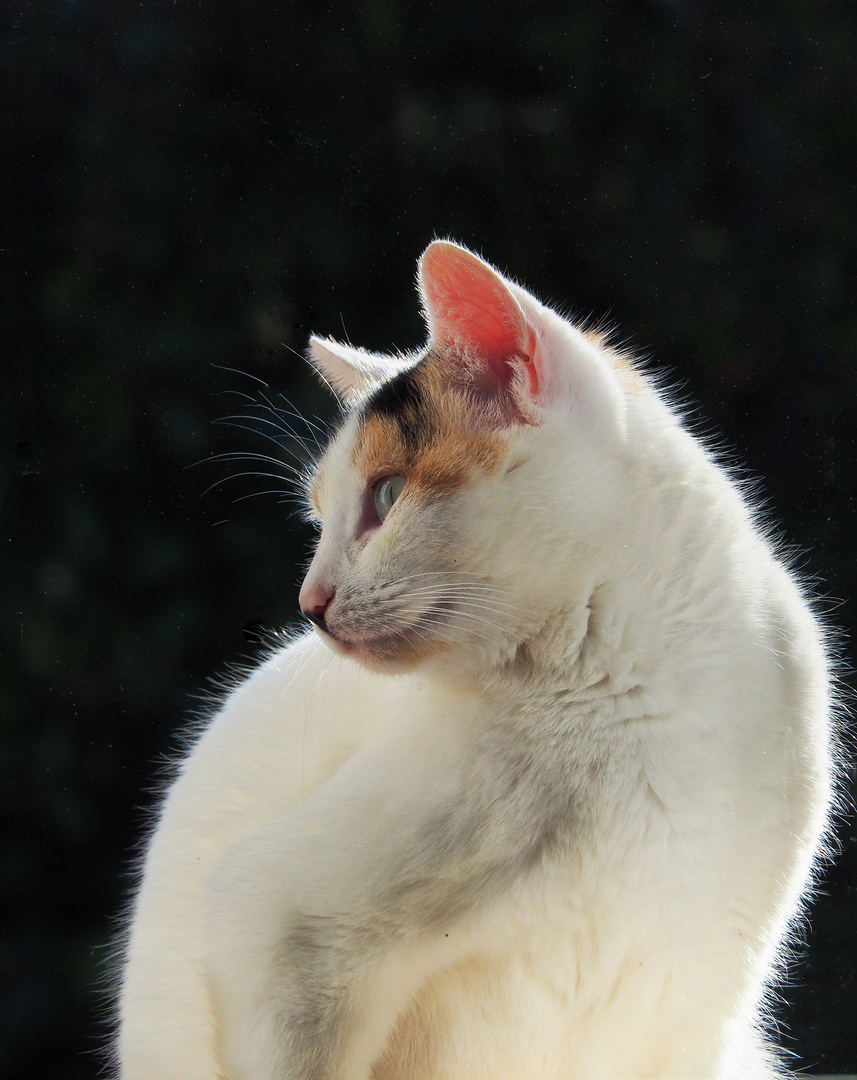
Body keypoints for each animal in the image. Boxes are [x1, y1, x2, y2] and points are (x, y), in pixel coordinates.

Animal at [113, 240, 833, 1075]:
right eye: (321, 516)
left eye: (386, 497)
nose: (310, 603)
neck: (636, 692)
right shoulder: (275, 921)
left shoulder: (693, 1007)